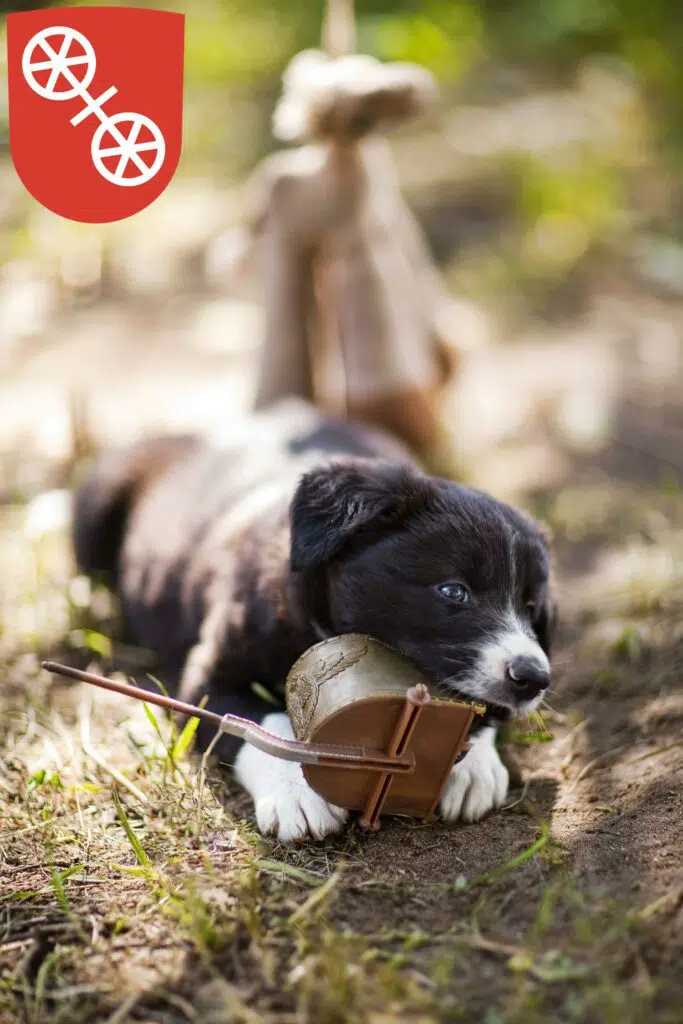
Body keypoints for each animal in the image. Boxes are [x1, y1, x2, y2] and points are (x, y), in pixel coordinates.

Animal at [73, 399, 557, 839]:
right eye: (453, 590)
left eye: (532, 607)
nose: (534, 678)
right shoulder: (208, 676)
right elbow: (260, 724)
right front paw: (296, 794)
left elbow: (485, 713)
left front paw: (475, 767)